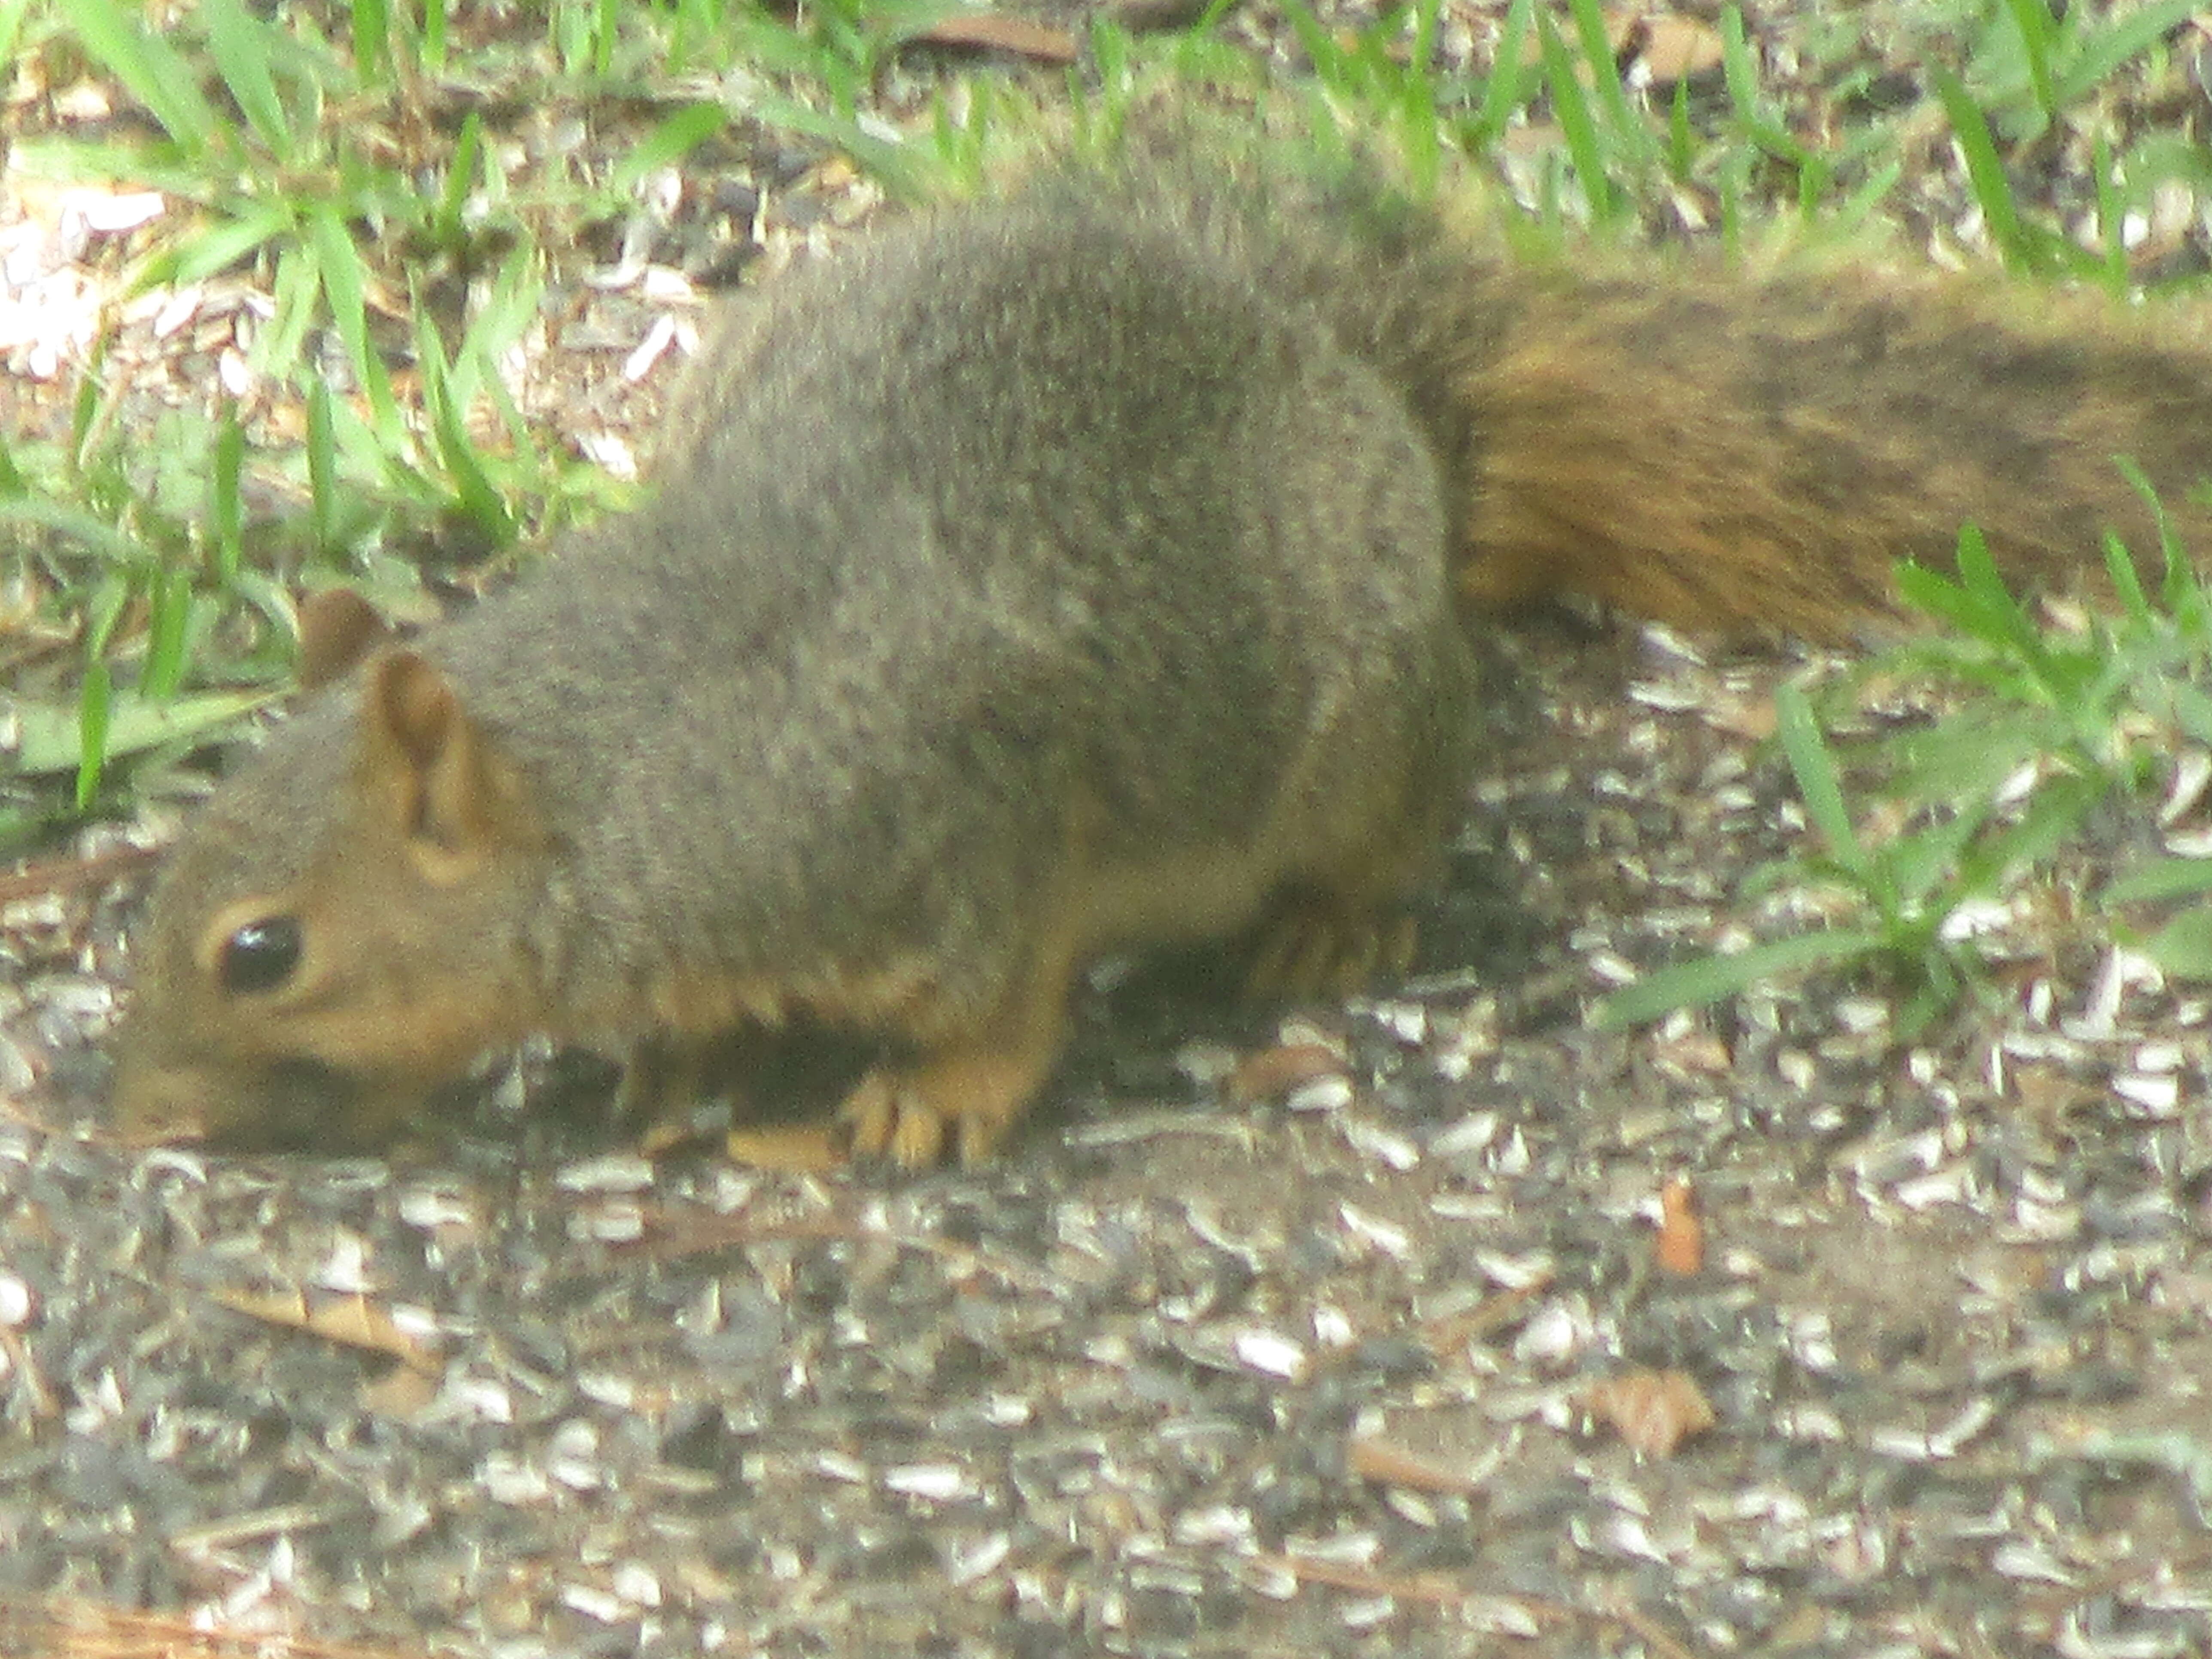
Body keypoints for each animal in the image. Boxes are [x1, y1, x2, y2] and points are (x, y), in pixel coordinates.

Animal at [104, 140, 2212, 1168]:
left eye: (261, 953)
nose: (133, 1106)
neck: (632, 764)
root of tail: (1361, 390)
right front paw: (672, 1063)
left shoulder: (966, 812)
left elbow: (1008, 985)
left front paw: (931, 1099)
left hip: (1365, 725)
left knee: (1400, 813)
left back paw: (1334, 926)